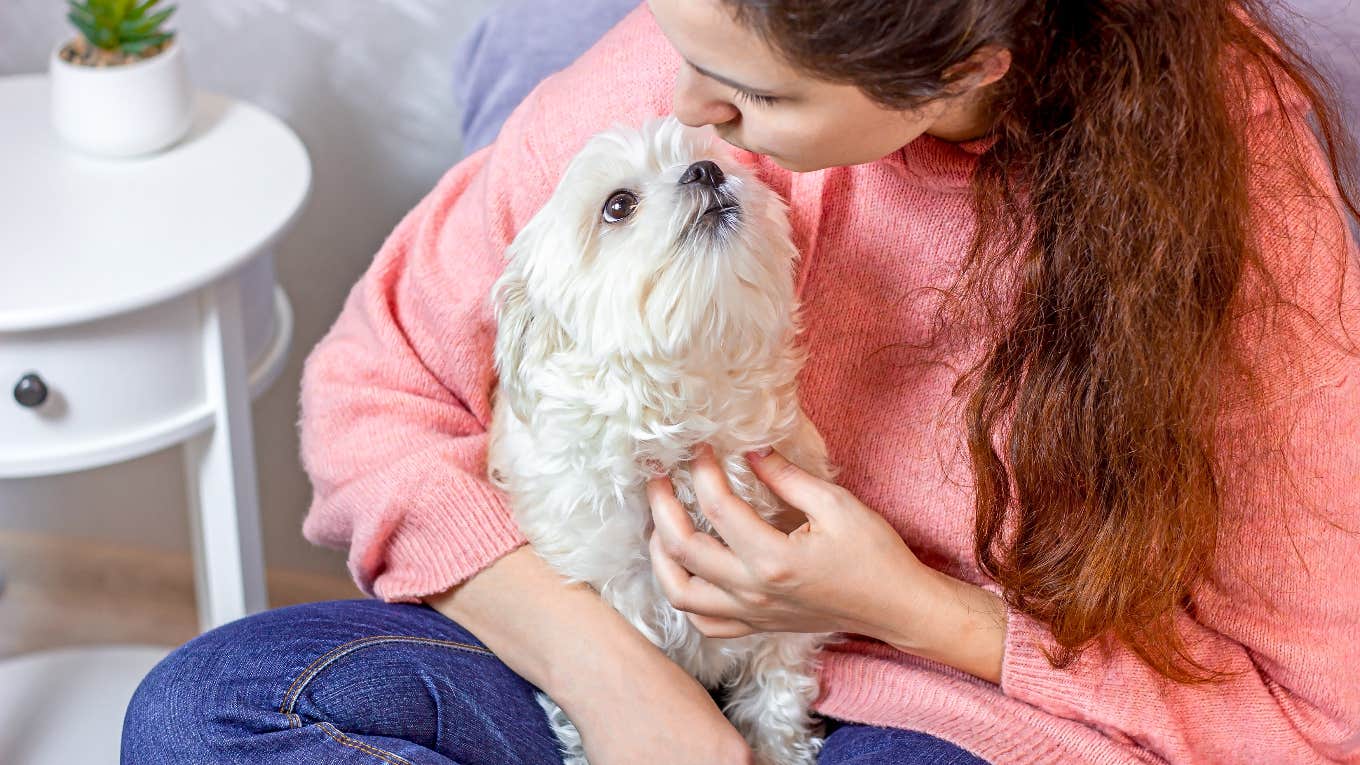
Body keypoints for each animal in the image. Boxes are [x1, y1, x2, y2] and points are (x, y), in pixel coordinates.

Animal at [481, 112, 837, 762]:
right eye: (617, 205)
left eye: (708, 155)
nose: (707, 169)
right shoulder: (615, 605)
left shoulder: (786, 622)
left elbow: (775, 697)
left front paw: (781, 750)